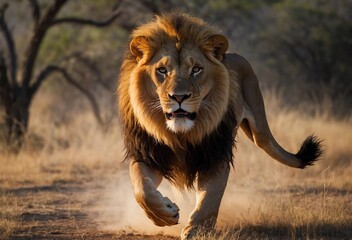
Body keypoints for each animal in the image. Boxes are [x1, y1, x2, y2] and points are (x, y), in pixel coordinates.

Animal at [117, 12, 324, 238]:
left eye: (196, 69)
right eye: (162, 70)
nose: (179, 97)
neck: (181, 134)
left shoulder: (216, 154)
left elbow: (211, 197)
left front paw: (196, 229)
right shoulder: (148, 153)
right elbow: (142, 189)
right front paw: (165, 213)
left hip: (260, 130)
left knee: (266, 142)